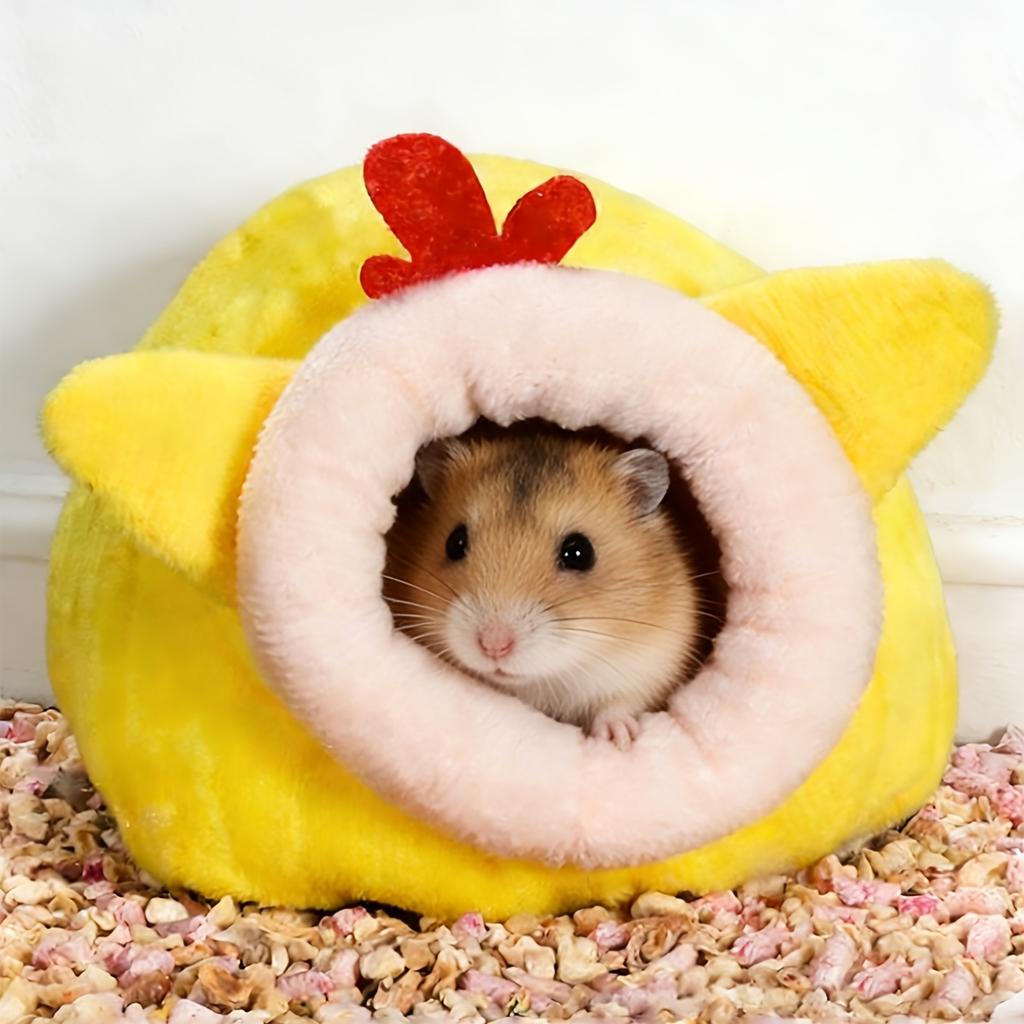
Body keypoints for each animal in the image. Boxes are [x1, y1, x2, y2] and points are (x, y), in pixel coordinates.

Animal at [383, 430, 701, 749]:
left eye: (580, 553)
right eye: (454, 542)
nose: (493, 646)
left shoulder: (655, 661)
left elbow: (620, 704)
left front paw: (617, 739)